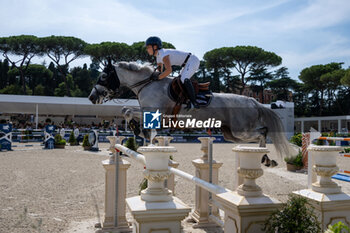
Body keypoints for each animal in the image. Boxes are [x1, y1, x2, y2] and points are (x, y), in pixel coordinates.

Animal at [89, 61, 292, 157]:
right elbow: (126, 110)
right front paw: (138, 130)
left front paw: (141, 132)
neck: (147, 84)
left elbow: (128, 111)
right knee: (259, 134)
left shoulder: (156, 113)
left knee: (263, 131)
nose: (92, 97)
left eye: (104, 76)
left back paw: (266, 158)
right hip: (231, 134)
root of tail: (253, 101)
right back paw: (265, 158)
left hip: (240, 130)